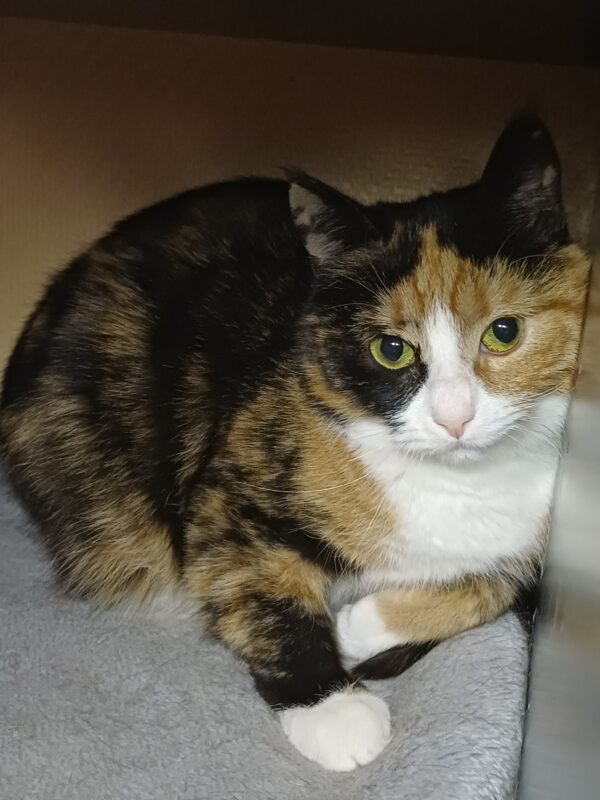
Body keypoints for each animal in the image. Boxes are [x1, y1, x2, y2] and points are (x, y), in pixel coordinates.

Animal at [0, 114, 590, 771]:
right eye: (391, 349)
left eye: (503, 331)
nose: (454, 418)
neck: (454, 485)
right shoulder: (228, 494)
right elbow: (261, 594)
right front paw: (333, 709)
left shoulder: (533, 545)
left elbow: (492, 585)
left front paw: (357, 628)